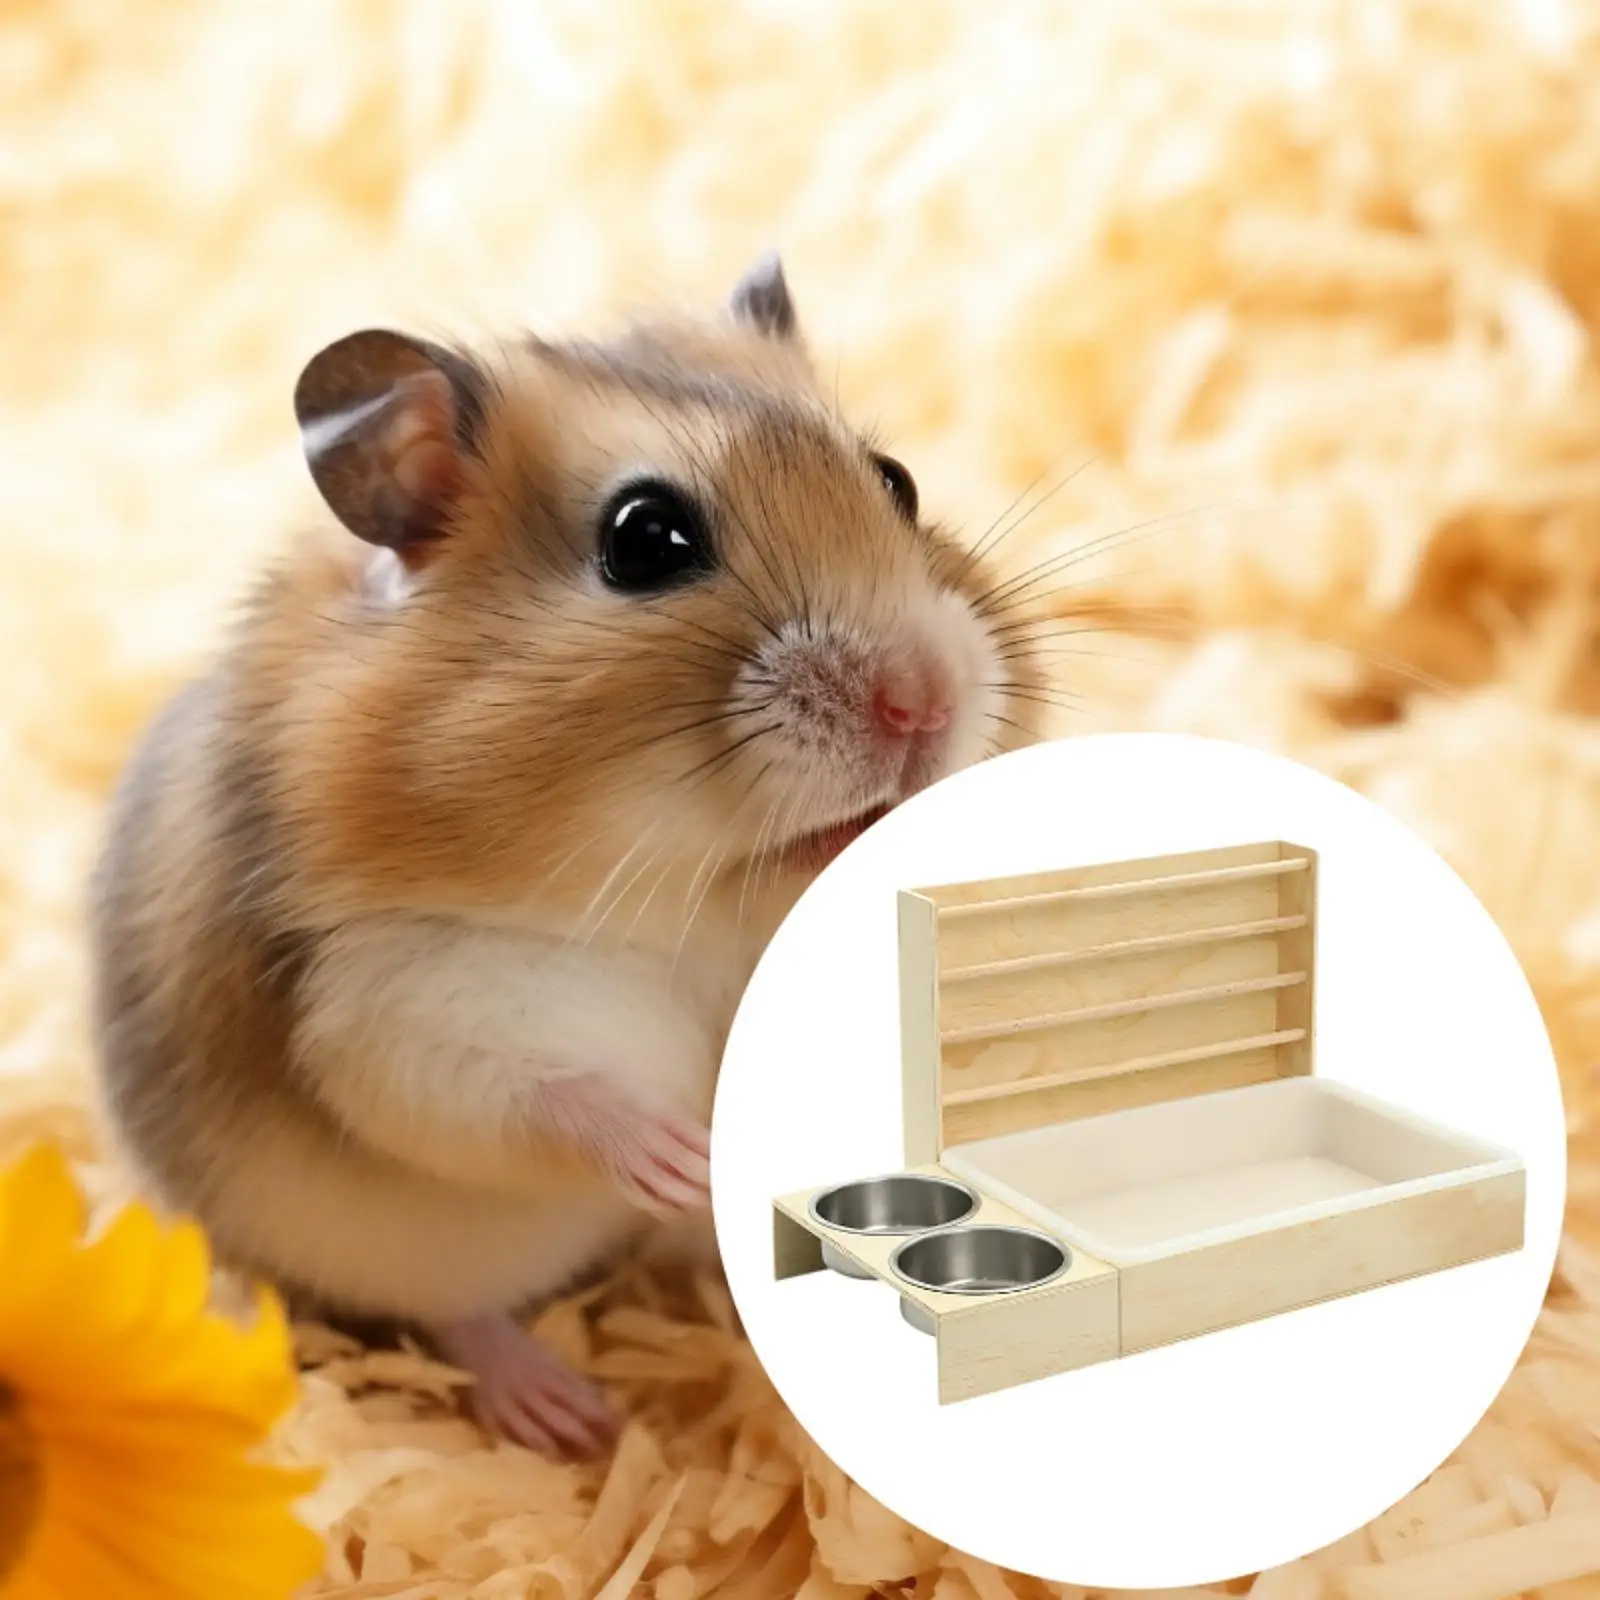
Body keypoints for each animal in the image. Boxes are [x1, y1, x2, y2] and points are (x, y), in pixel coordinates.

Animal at [87, 255, 1050, 1458]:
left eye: (898, 481)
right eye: (645, 540)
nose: (923, 703)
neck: (706, 894)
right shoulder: (402, 1001)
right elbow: (538, 1093)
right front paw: (683, 1158)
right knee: (456, 1313)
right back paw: (566, 1415)